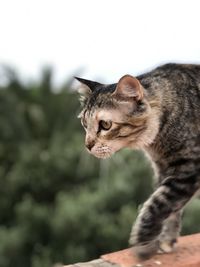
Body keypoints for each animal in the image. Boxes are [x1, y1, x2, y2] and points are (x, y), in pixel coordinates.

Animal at [75, 63, 200, 260]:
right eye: (85, 124)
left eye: (105, 125)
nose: (87, 145)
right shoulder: (163, 169)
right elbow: (170, 207)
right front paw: (164, 240)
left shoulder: (189, 167)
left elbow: (159, 203)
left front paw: (143, 240)